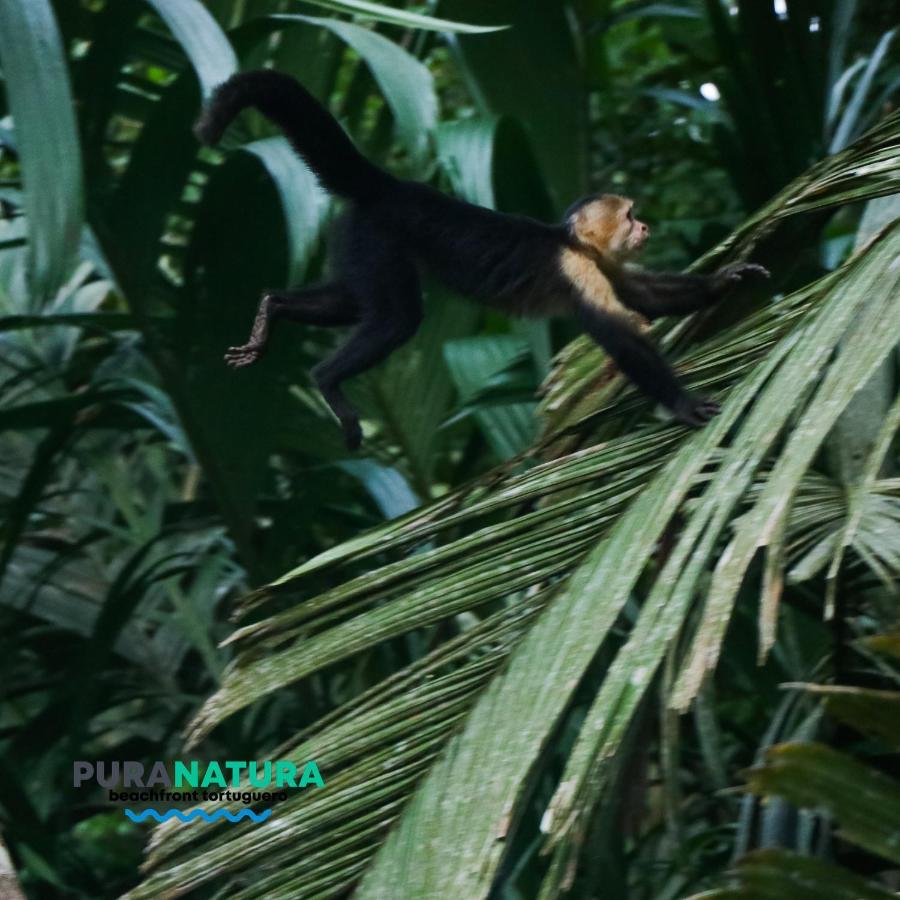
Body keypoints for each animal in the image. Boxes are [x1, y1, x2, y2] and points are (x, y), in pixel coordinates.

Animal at [192, 70, 768, 450]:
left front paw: (727, 279)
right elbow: (619, 334)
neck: (576, 245)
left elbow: (645, 297)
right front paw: (683, 404)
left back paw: (273, 309)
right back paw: (327, 379)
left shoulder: (600, 263)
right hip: (377, 238)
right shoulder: (577, 267)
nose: (645, 227)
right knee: (396, 318)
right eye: (630, 216)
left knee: (352, 303)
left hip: (356, 240)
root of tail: (391, 186)